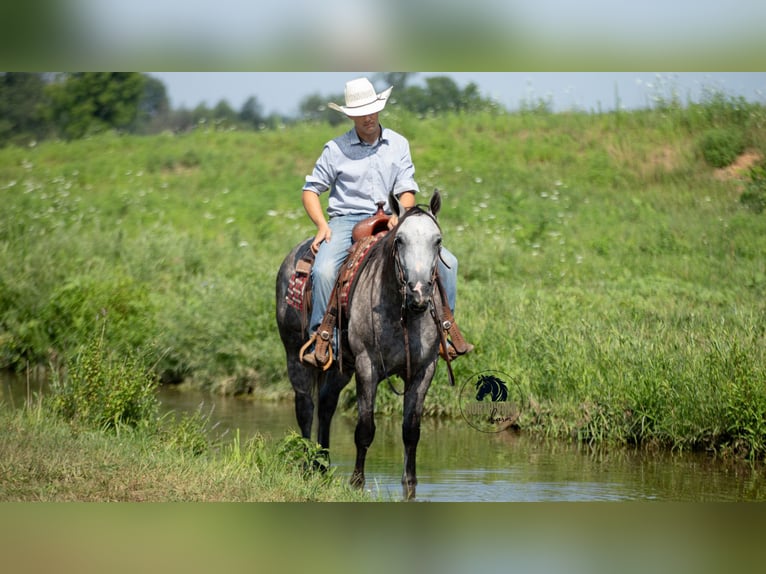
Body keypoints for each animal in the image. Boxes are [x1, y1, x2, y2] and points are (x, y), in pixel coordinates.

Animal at [275, 190, 446, 499]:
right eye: (400, 240)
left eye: (437, 240)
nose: (418, 293)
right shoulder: (368, 366)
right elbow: (365, 428)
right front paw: (356, 483)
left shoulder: (424, 369)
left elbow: (411, 430)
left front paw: (410, 487)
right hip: (295, 354)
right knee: (305, 406)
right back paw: (306, 466)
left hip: (341, 366)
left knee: (327, 403)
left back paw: (321, 463)